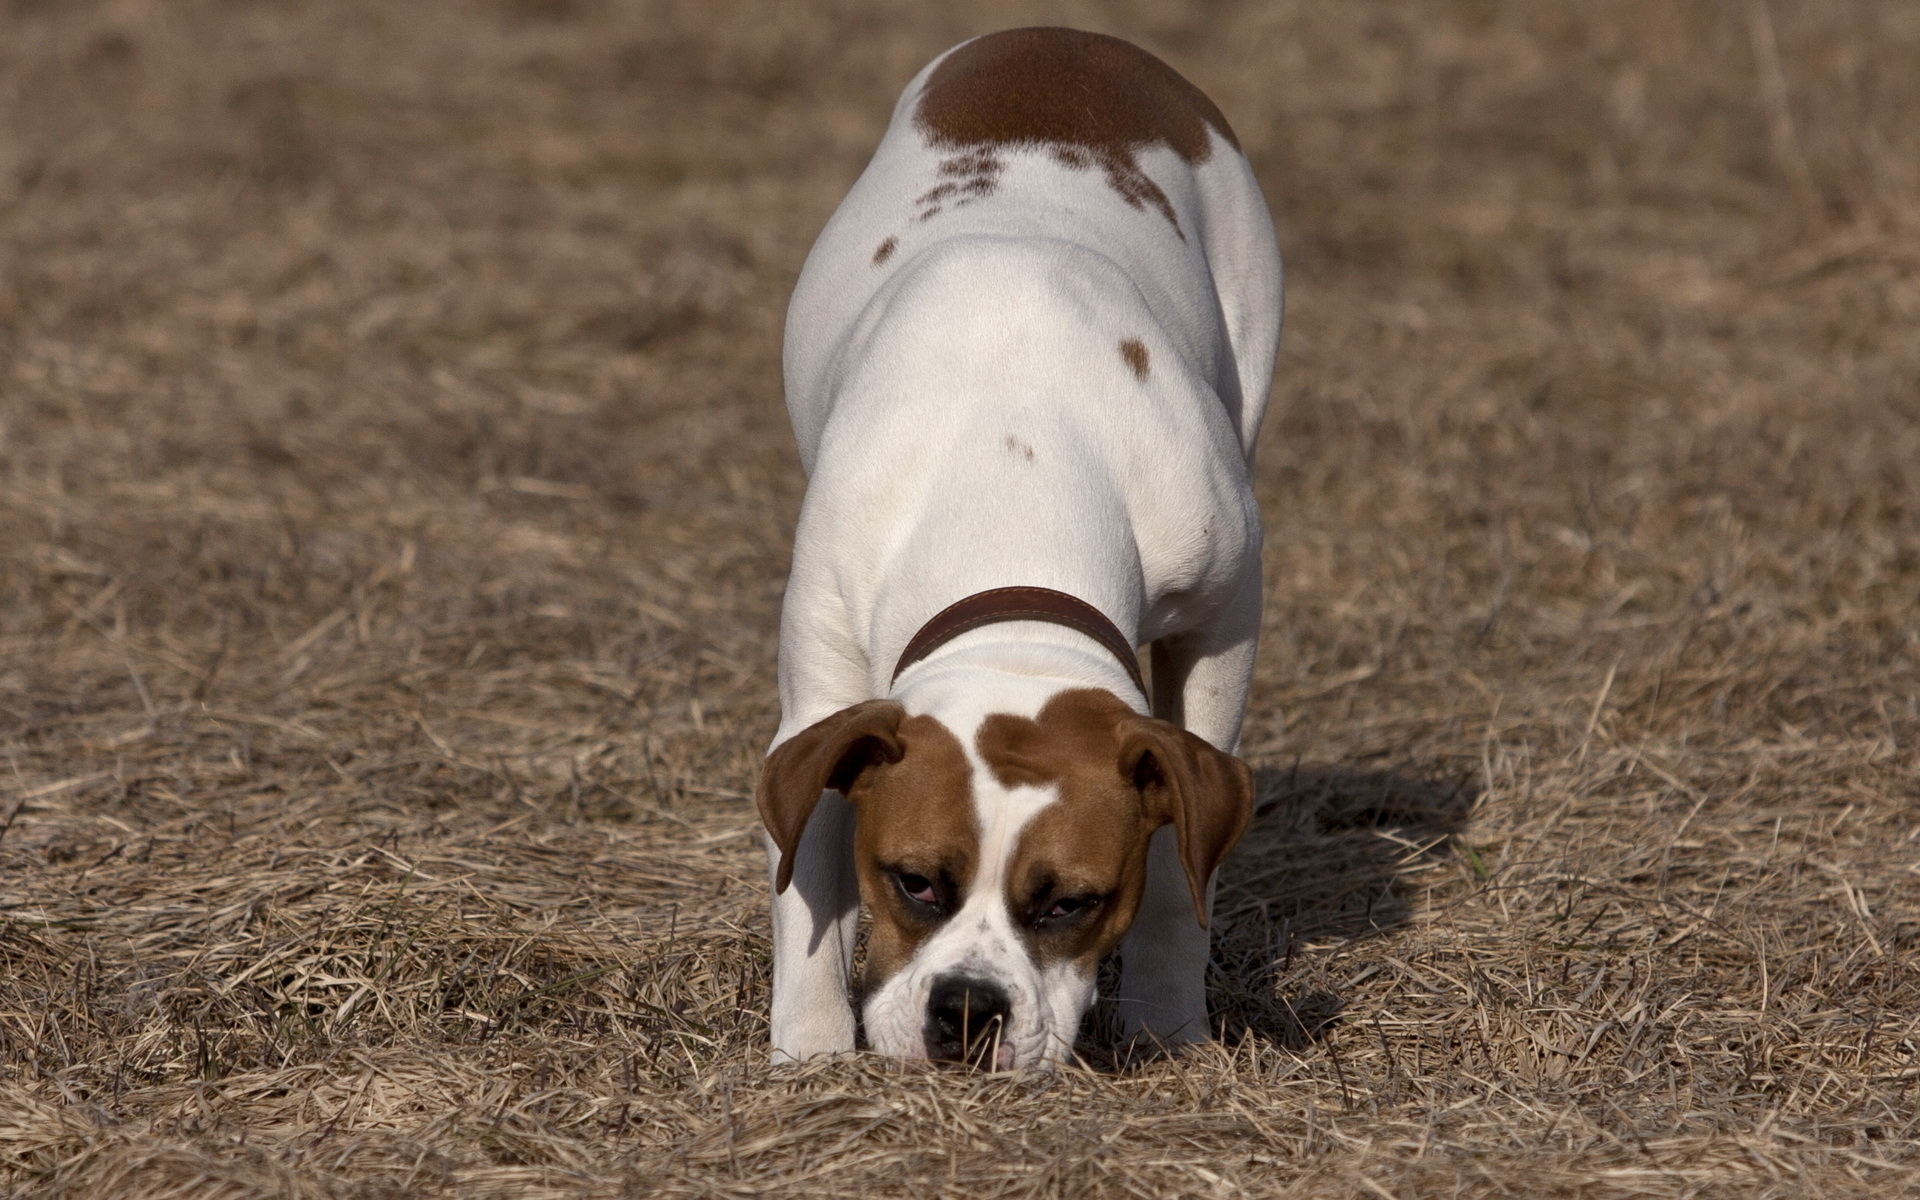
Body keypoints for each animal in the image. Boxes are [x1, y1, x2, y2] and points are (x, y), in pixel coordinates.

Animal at [756, 25, 1282, 1067]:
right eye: (914, 880)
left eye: (1070, 902)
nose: (967, 1010)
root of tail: (1063, 38)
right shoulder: (820, 701)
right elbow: (808, 885)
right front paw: (809, 1055)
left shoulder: (1220, 626)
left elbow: (1180, 881)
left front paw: (1169, 1027)